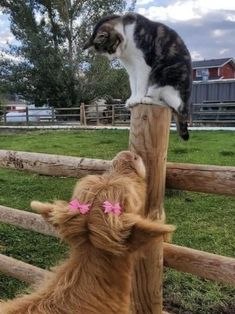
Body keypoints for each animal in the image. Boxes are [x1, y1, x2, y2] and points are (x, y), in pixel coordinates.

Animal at [83, 12, 192, 140]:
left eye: (111, 48)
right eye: (105, 52)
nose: (112, 58)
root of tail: (185, 105)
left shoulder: (142, 64)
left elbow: (140, 84)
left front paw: (138, 98)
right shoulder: (131, 68)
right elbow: (133, 84)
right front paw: (132, 99)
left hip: (163, 74)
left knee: (170, 104)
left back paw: (148, 99)